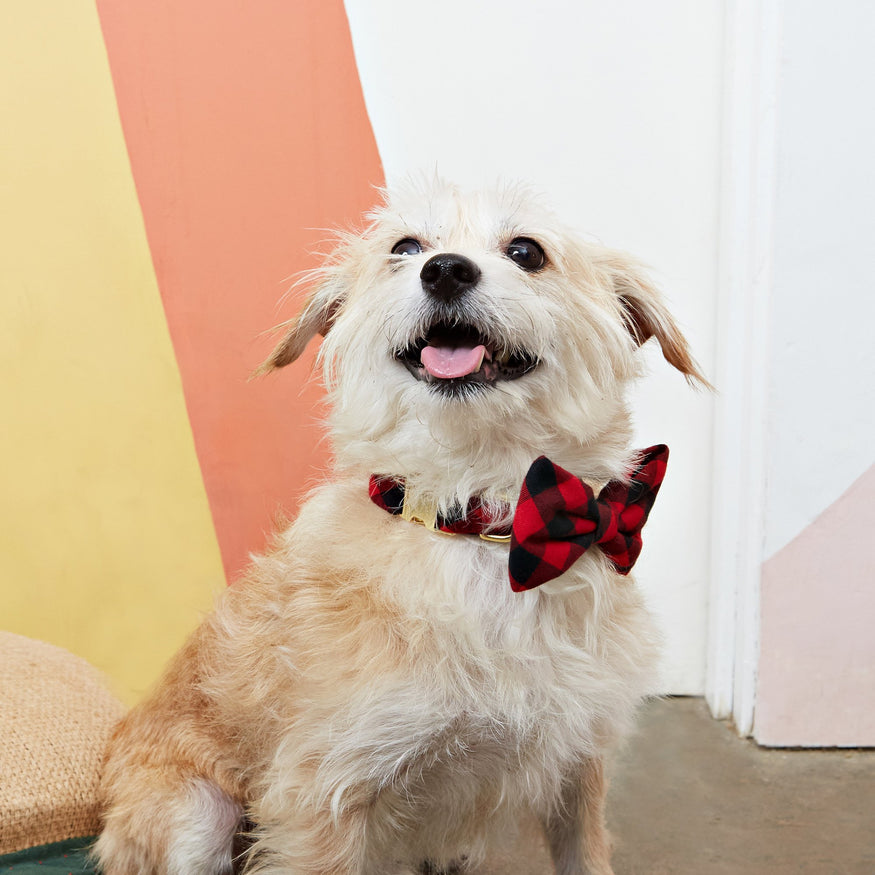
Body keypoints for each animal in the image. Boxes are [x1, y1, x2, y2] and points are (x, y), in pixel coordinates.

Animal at [96, 180, 708, 875]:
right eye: (406, 247)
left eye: (527, 251)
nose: (444, 269)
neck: (484, 524)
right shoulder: (322, 797)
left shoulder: (579, 770)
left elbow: (586, 855)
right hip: (196, 815)